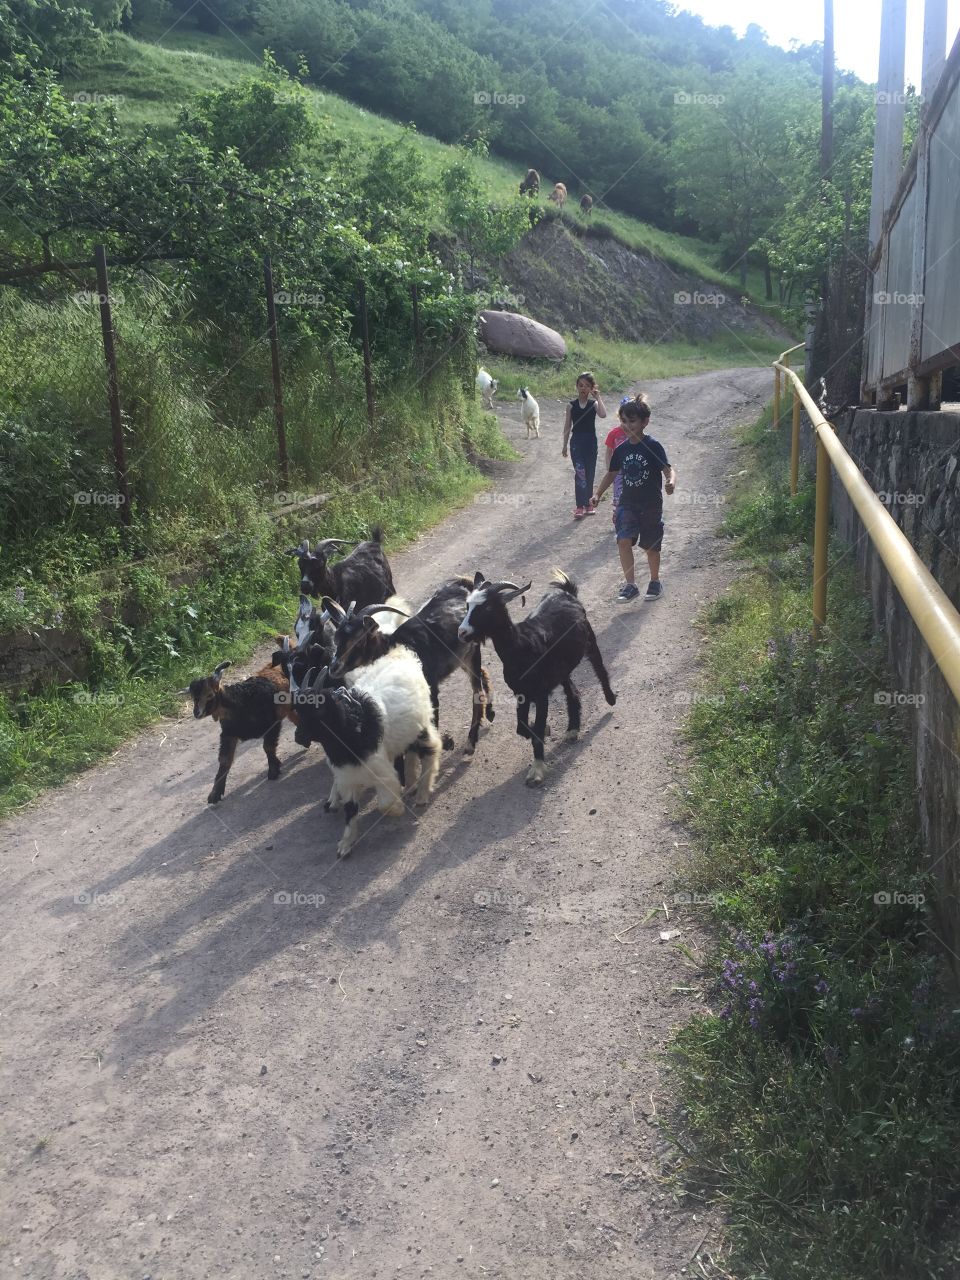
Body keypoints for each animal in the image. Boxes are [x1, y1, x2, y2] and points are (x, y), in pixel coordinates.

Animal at [293, 655, 442, 855]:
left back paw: (422, 795)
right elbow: (350, 810)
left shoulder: (382, 772)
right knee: (410, 752)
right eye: (297, 709)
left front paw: (398, 809)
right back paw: (411, 786)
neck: (355, 728)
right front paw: (345, 845)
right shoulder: (348, 777)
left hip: (421, 726)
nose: (298, 736)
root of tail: (403, 656)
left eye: (319, 708)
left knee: (431, 749)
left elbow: (385, 804)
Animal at [330, 578, 496, 752]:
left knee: (476, 690)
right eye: (337, 639)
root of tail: (464, 582)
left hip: (472, 650)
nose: (334, 667)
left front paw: (445, 742)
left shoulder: (430, 687)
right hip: (461, 657)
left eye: (359, 640)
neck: (394, 644)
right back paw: (490, 713)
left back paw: (471, 741)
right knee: (482, 674)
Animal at [458, 568, 616, 783]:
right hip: (562, 669)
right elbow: (522, 727)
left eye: (488, 607)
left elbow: (537, 727)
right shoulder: (521, 693)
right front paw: (542, 731)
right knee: (572, 691)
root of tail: (567, 592)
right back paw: (572, 729)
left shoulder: (540, 694)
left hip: (590, 641)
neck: (520, 646)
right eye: (467, 606)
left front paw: (537, 770)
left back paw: (610, 698)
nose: (462, 632)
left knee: (600, 669)